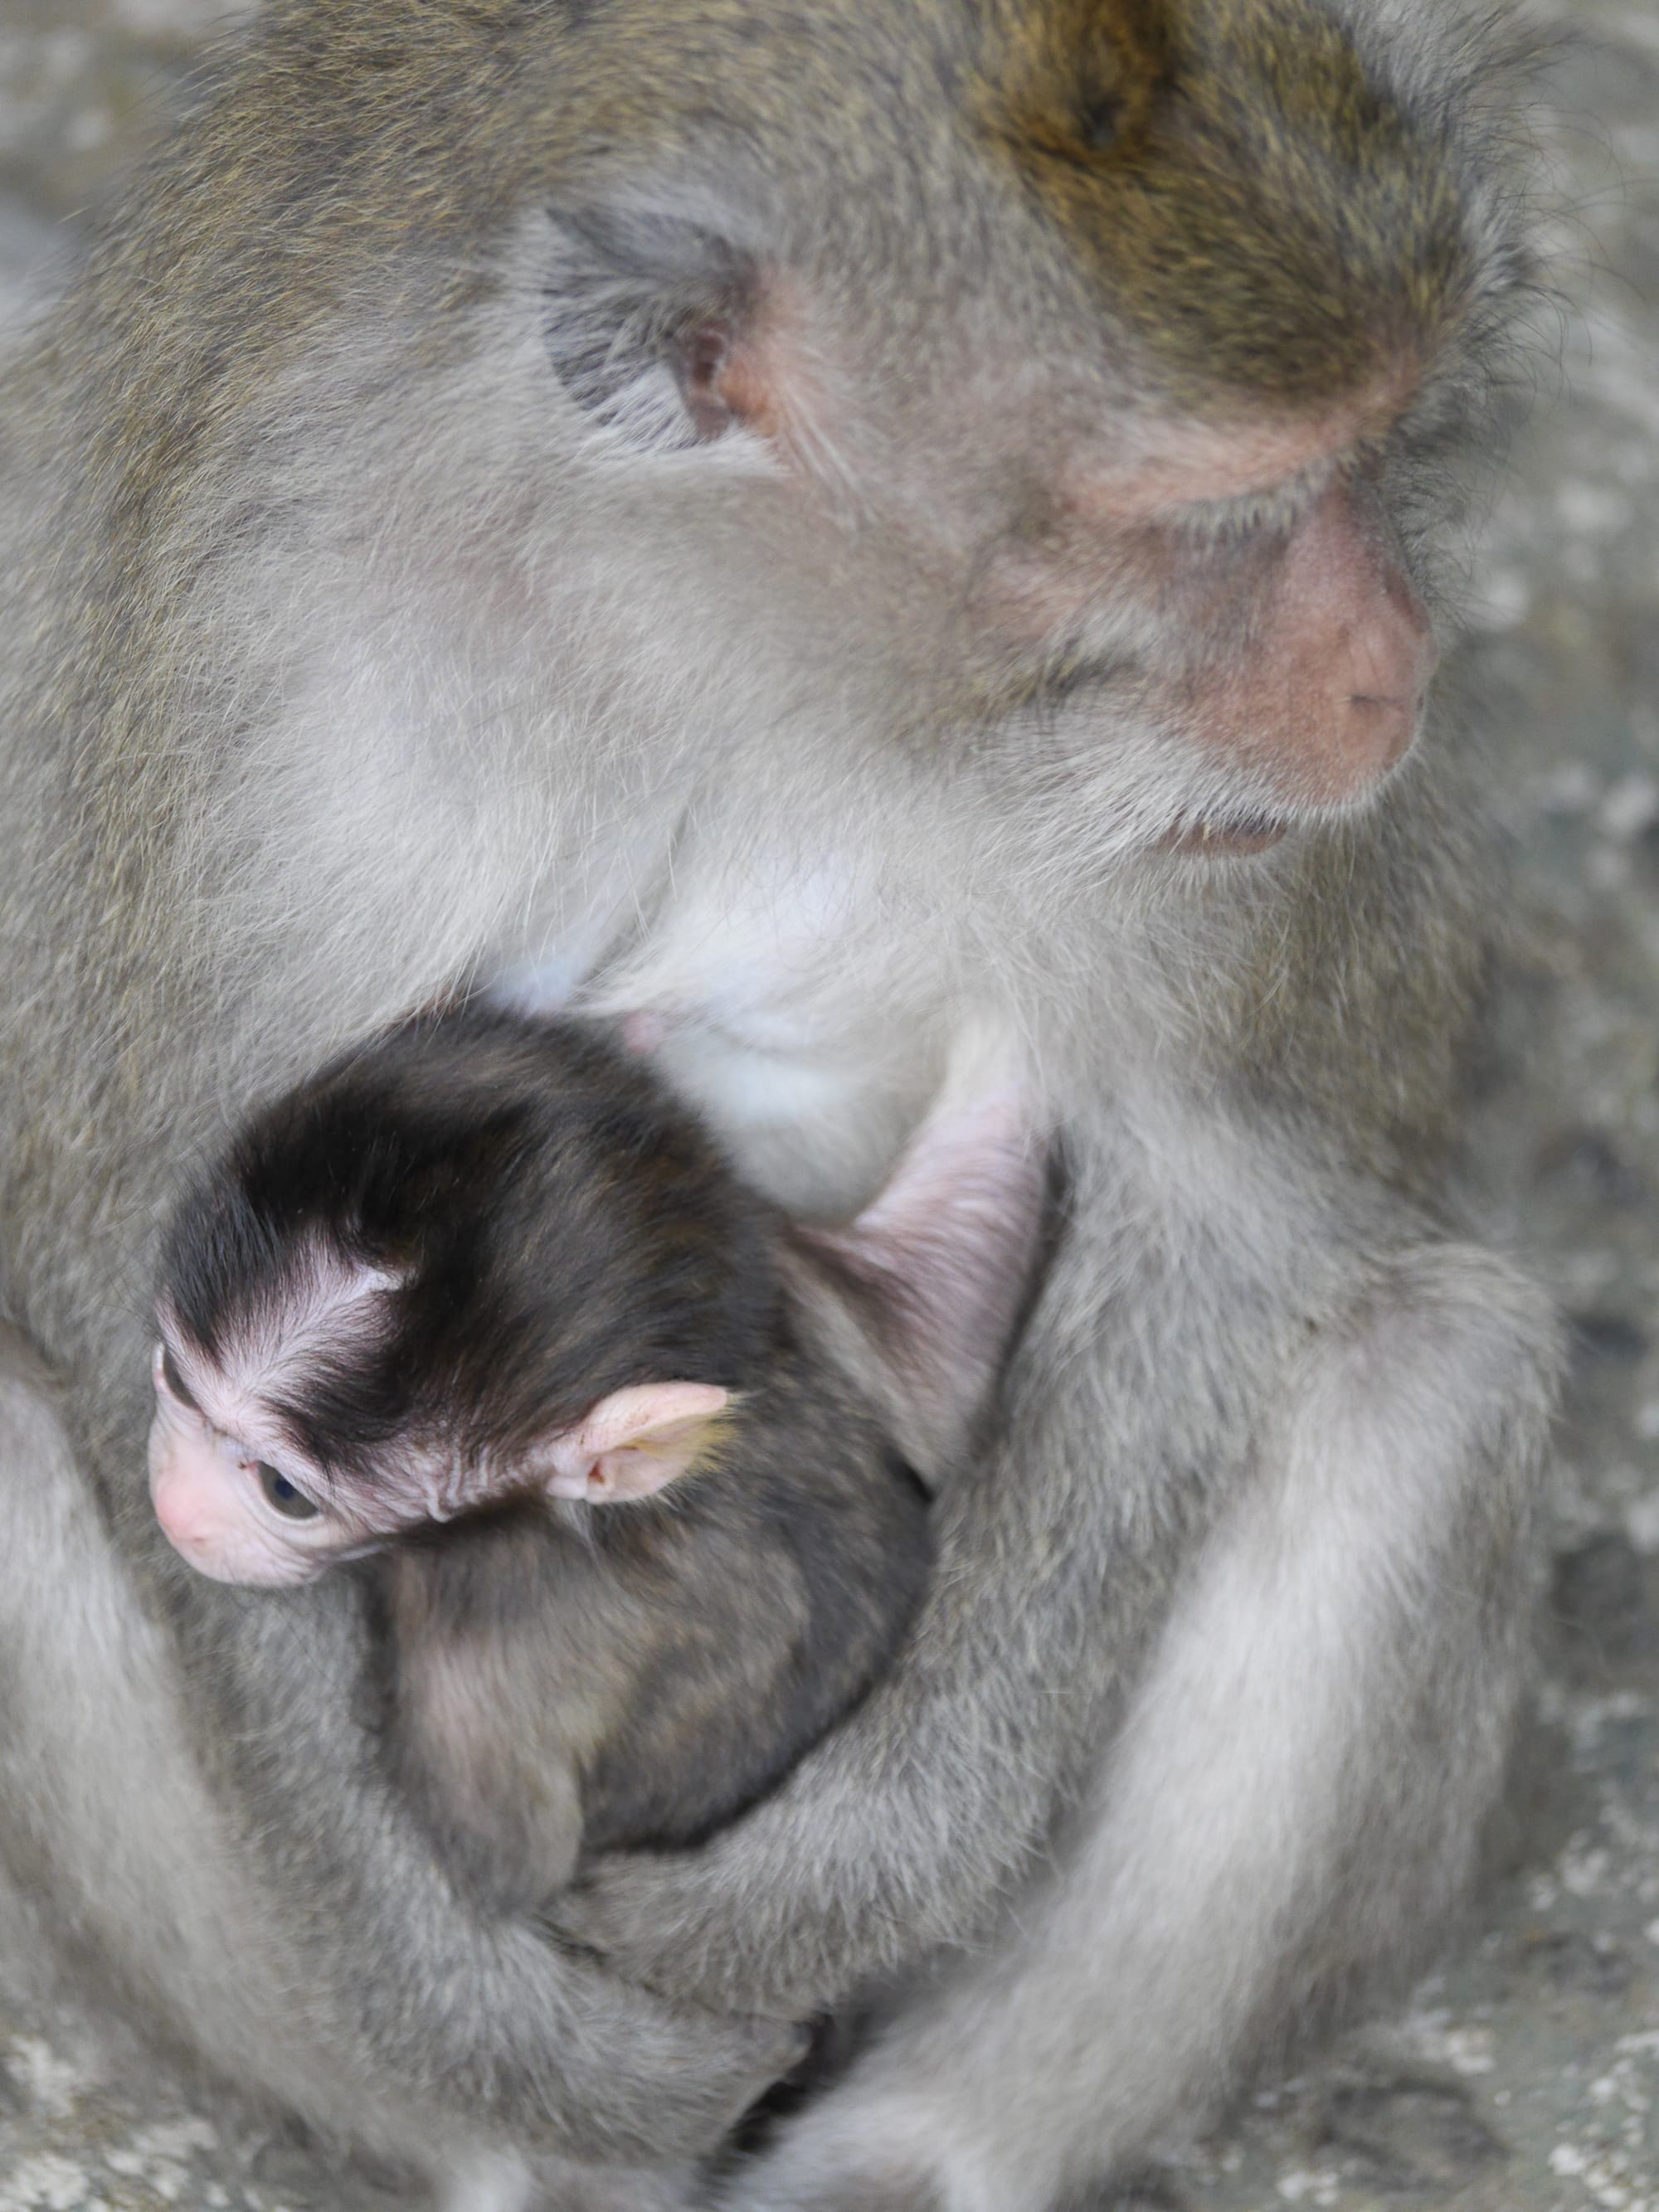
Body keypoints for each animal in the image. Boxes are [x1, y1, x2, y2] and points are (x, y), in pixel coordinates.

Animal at [149, 1013, 1044, 1911]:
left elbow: (508, 1869)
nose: (172, 1507)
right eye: (175, 1378)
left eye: (284, 1491)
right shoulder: (783, 1275)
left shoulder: (482, 1664)